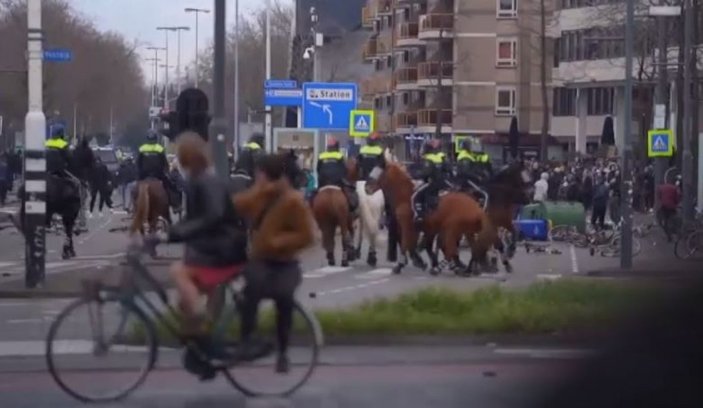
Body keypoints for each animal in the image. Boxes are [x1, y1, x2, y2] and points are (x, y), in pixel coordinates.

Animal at [368, 151, 496, 276]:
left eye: (379, 171)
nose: (366, 187)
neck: (405, 196)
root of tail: (475, 205)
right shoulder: (426, 229)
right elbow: (420, 246)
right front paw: (425, 262)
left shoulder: (408, 227)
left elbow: (406, 244)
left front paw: (400, 265)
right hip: (466, 231)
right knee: (471, 249)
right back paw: (468, 269)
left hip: (454, 229)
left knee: (452, 249)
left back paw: (443, 268)